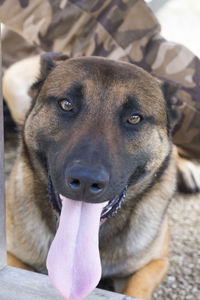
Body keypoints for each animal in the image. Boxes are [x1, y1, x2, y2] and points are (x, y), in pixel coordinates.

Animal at [3, 54, 178, 300]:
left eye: (135, 118)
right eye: (66, 104)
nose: (86, 181)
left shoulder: (155, 263)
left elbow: (137, 289)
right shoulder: (12, 255)